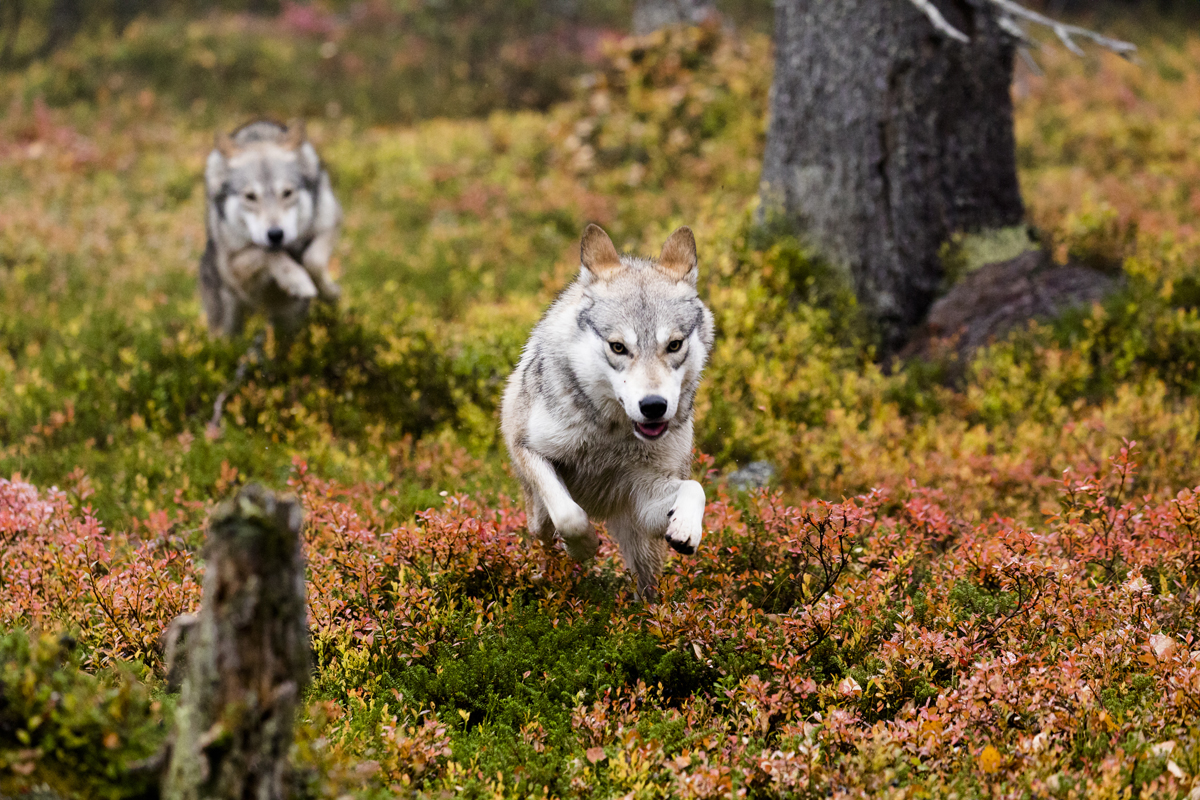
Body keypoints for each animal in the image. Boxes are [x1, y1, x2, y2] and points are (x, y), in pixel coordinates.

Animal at [199, 118, 343, 338]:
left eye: (287, 193)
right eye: (250, 197)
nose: (275, 234)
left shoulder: (330, 223)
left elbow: (314, 261)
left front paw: (329, 292)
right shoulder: (235, 267)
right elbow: (269, 254)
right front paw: (297, 280)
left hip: (290, 321)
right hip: (225, 325)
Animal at [504, 221, 715, 597]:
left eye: (674, 345)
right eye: (618, 347)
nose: (653, 406)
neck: (612, 435)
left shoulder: (643, 496)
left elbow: (695, 487)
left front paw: (687, 527)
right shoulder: (528, 448)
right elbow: (570, 516)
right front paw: (584, 546)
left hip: (642, 543)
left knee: (648, 588)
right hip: (537, 515)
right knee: (545, 537)